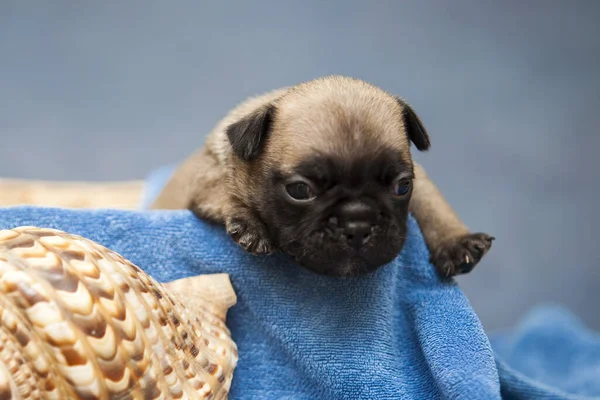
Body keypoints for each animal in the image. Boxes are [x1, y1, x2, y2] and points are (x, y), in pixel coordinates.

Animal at [150, 75, 492, 276]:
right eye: (300, 191)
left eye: (402, 186)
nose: (358, 222)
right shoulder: (206, 177)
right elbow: (224, 189)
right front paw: (250, 224)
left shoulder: (419, 180)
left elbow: (432, 204)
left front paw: (456, 242)